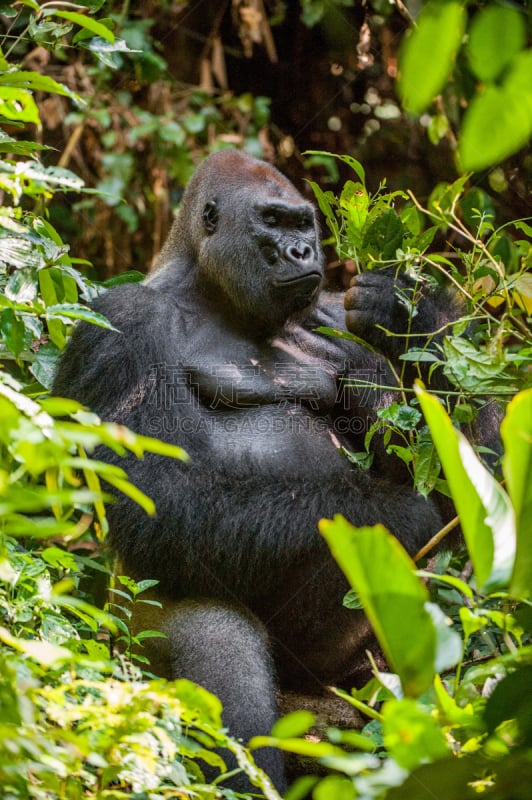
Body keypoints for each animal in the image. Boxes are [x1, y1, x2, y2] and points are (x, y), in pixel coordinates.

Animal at [53, 152, 462, 792]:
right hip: (132, 635)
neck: (208, 291)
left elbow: (453, 457)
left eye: (303, 224)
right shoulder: (119, 323)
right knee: (225, 662)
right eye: (272, 222)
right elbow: (156, 496)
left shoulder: (325, 309)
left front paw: (405, 313)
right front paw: (400, 515)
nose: (302, 252)